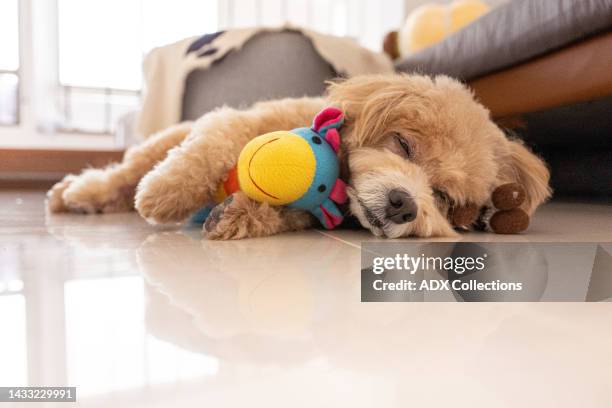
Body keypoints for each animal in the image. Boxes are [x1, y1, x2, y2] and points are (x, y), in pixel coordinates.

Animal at [46, 74, 548, 239]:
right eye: (404, 145)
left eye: (442, 197)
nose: (405, 204)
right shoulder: (238, 123)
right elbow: (209, 148)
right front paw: (164, 194)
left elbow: (279, 215)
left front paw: (236, 216)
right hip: (162, 140)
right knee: (122, 172)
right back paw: (75, 193)